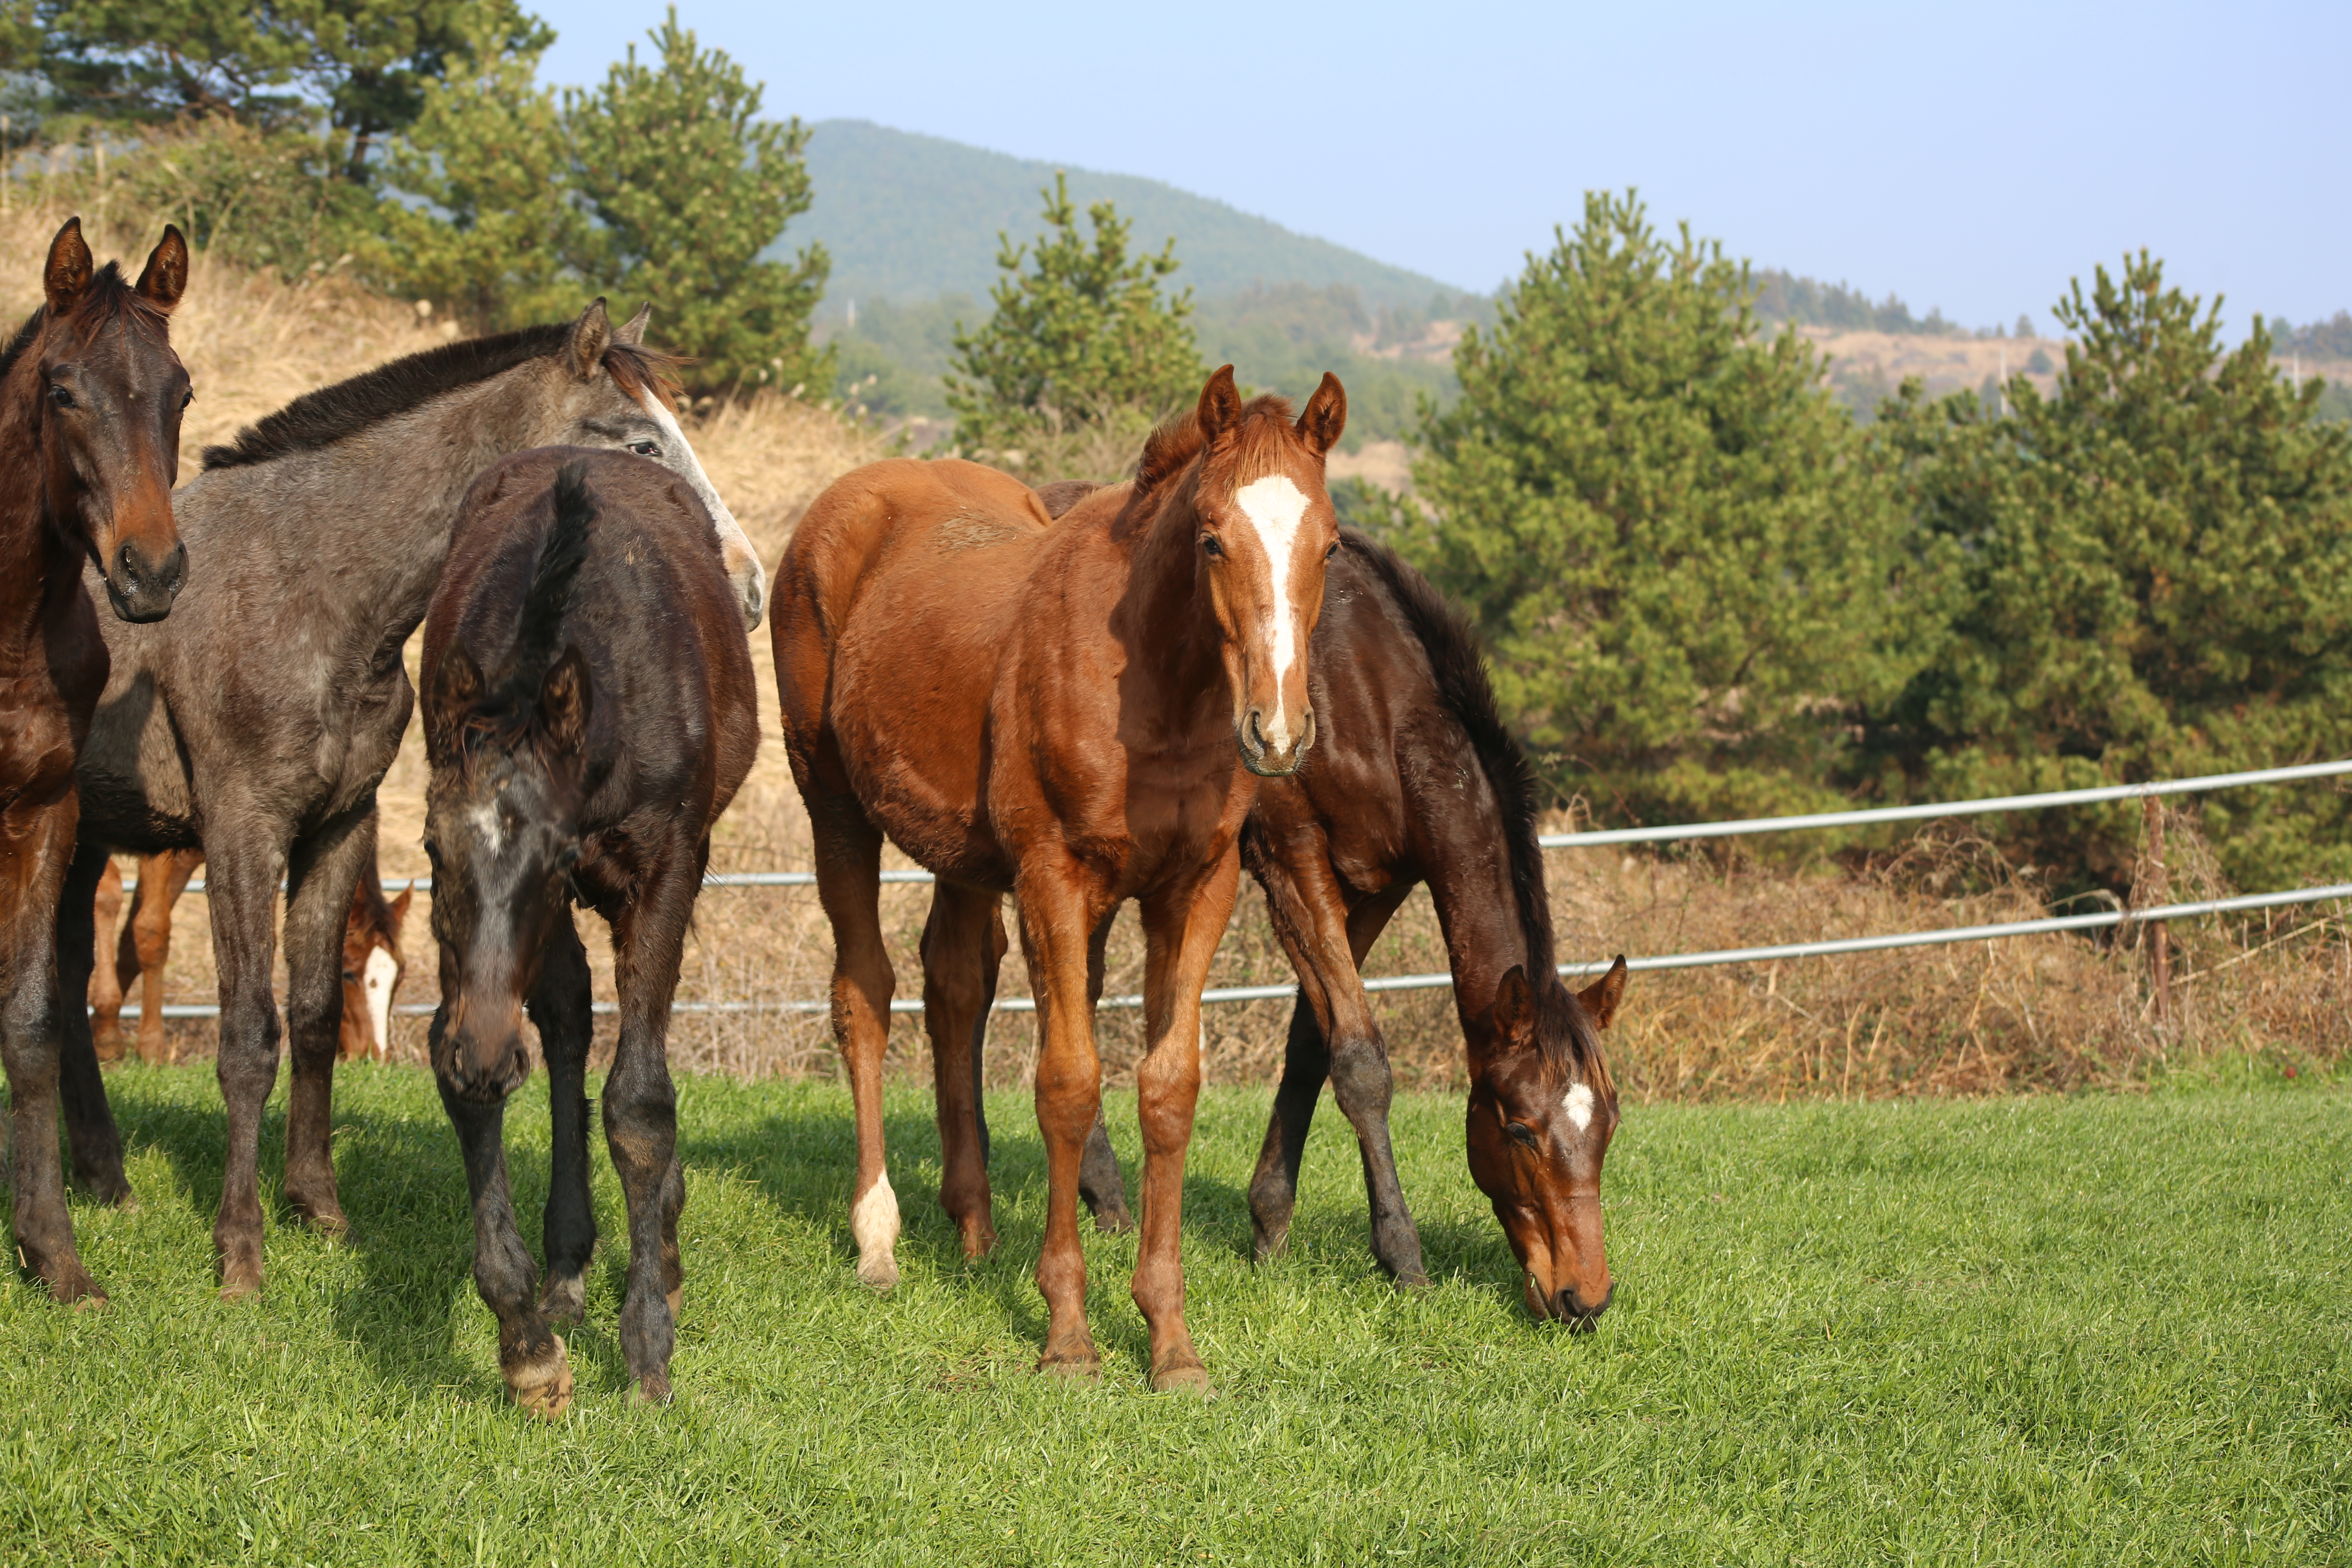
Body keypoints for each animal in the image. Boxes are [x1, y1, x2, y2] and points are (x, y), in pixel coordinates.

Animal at [53, 297, 762, 1297]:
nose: (747, 582)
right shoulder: (242, 831)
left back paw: (105, 1177)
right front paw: (241, 1252)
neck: (307, 581)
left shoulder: (339, 825)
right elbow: (247, 1035)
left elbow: (313, 1017)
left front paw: (319, 1209)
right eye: (641, 443)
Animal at [419, 446, 753, 1420]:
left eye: (559, 854)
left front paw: (647, 1346)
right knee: (567, 1019)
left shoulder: (666, 864)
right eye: (432, 847)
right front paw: (527, 1346)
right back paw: (569, 1259)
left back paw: (662, 1252)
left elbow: (640, 1103)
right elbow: (475, 1084)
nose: (488, 1051)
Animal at [781, 369, 1354, 1401]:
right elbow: (1068, 1083)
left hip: (963, 856)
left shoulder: (1195, 889)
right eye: (1211, 536)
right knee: (864, 994)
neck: (1161, 690)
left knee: (954, 985)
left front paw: (1170, 1340)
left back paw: (972, 1230)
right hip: (833, 804)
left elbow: (1168, 1089)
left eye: (1329, 542)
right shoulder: (1054, 878)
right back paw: (877, 1239)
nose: (1279, 732)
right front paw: (1069, 1335)